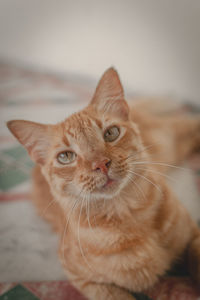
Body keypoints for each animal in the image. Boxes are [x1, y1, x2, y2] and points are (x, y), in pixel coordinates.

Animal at [6, 68, 200, 300]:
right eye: (65, 157)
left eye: (111, 133)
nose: (100, 164)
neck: (124, 213)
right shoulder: (83, 280)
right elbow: (115, 295)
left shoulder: (194, 237)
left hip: (168, 139)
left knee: (190, 123)